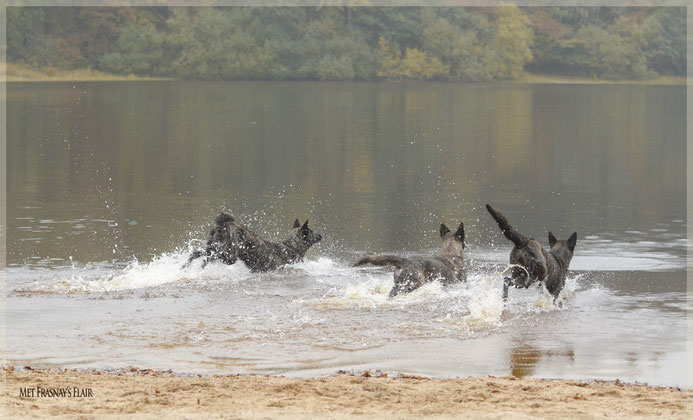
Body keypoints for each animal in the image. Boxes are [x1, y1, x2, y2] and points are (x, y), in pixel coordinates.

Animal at [185, 213, 324, 272]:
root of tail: (224, 224)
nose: (321, 235)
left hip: (215, 248)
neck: (291, 246)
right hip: (229, 256)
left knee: (196, 253)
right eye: (310, 231)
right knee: (207, 257)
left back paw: (185, 266)